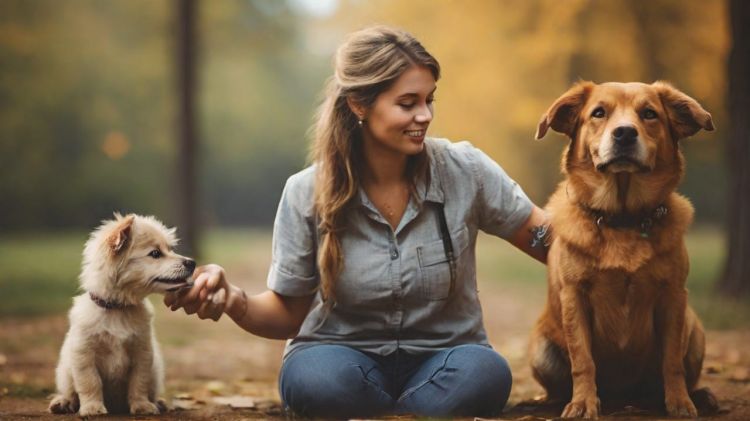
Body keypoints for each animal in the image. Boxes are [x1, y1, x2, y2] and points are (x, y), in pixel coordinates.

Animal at [48, 212, 195, 416]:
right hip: (65, 370)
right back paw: (63, 402)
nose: (192, 263)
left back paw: (158, 402)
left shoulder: (142, 353)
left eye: (170, 249)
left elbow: (139, 383)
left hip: (156, 370)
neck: (117, 308)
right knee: (70, 391)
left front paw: (142, 406)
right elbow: (90, 382)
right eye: (155, 254)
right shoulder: (84, 354)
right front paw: (92, 407)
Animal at [532, 81, 720, 416]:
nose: (624, 133)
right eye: (598, 113)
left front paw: (680, 402)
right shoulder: (574, 297)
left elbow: (672, 361)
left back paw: (699, 395)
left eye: (649, 114)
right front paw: (583, 403)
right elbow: (583, 361)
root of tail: (625, 397)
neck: (622, 219)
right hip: (540, 350)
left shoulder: (673, 296)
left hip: (695, 329)